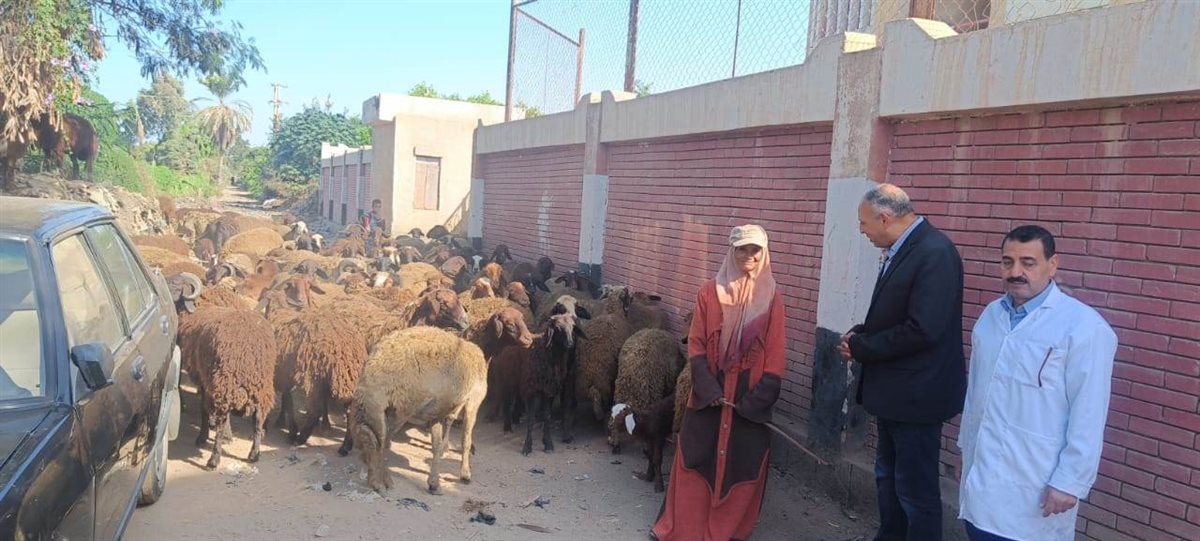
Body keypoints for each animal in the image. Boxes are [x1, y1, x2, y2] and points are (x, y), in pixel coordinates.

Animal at [166, 273, 277, 469]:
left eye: (177, 287)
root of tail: (251, 347)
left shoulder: (204, 378)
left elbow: (203, 408)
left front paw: (203, 436)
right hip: (260, 386)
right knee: (257, 420)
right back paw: (254, 454)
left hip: (225, 381)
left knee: (222, 419)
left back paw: (214, 458)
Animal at [347, 326, 487, 494]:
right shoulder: (473, 400)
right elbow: (465, 440)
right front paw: (465, 474)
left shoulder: (435, 413)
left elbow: (437, 446)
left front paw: (434, 483)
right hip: (401, 408)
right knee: (383, 443)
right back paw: (382, 481)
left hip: (381, 410)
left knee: (375, 440)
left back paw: (376, 480)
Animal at [520, 313, 586, 454]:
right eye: (558, 328)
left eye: (572, 327)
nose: (570, 344)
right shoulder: (530, 389)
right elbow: (530, 419)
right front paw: (527, 446)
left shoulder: (549, 390)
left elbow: (548, 417)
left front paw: (548, 443)